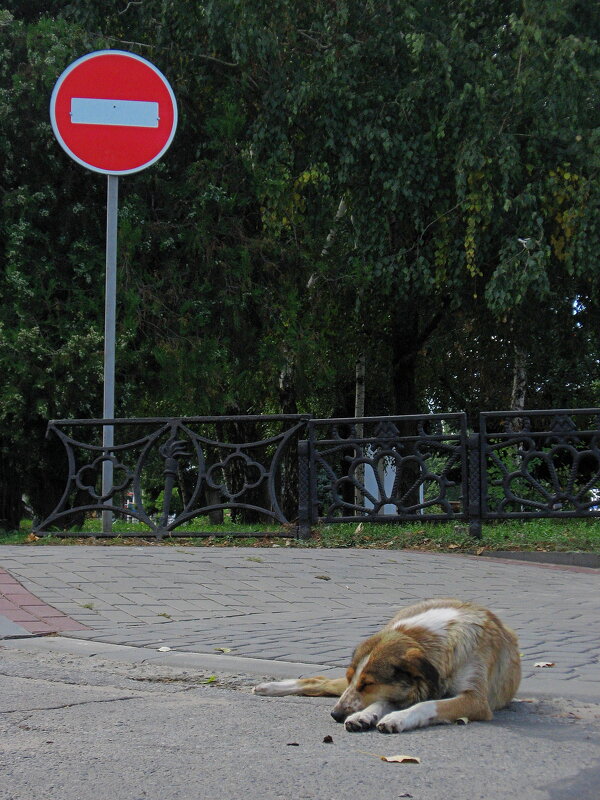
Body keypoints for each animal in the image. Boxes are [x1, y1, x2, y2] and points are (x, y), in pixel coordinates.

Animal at [253, 600, 520, 732]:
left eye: (368, 684)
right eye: (354, 680)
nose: (335, 715)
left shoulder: (476, 700)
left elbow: (427, 705)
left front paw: (397, 719)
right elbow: (382, 702)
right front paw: (366, 715)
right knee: (318, 681)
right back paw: (269, 687)